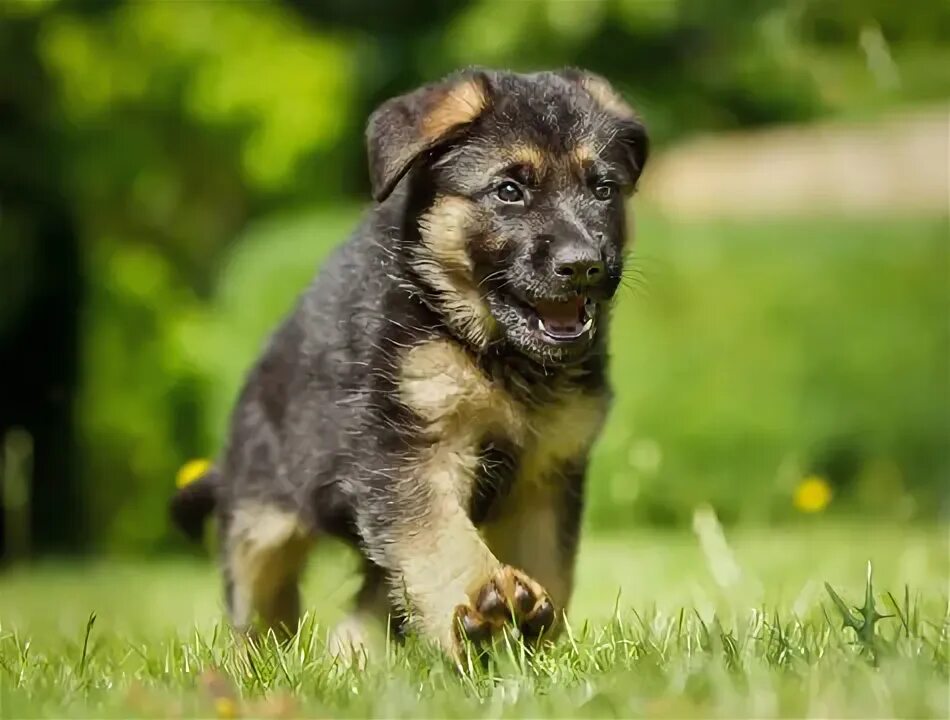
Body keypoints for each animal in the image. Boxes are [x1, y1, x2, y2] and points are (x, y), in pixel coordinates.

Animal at [169, 66, 648, 660]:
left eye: (602, 189)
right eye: (508, 191)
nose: (582, 266)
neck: (491, 351)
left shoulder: (547, 472)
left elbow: (550, 566)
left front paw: (535, 639)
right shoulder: (409, 450)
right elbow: (440, 535)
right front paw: (484, 599)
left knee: (375, 598)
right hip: (261, 520)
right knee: (259, 603)